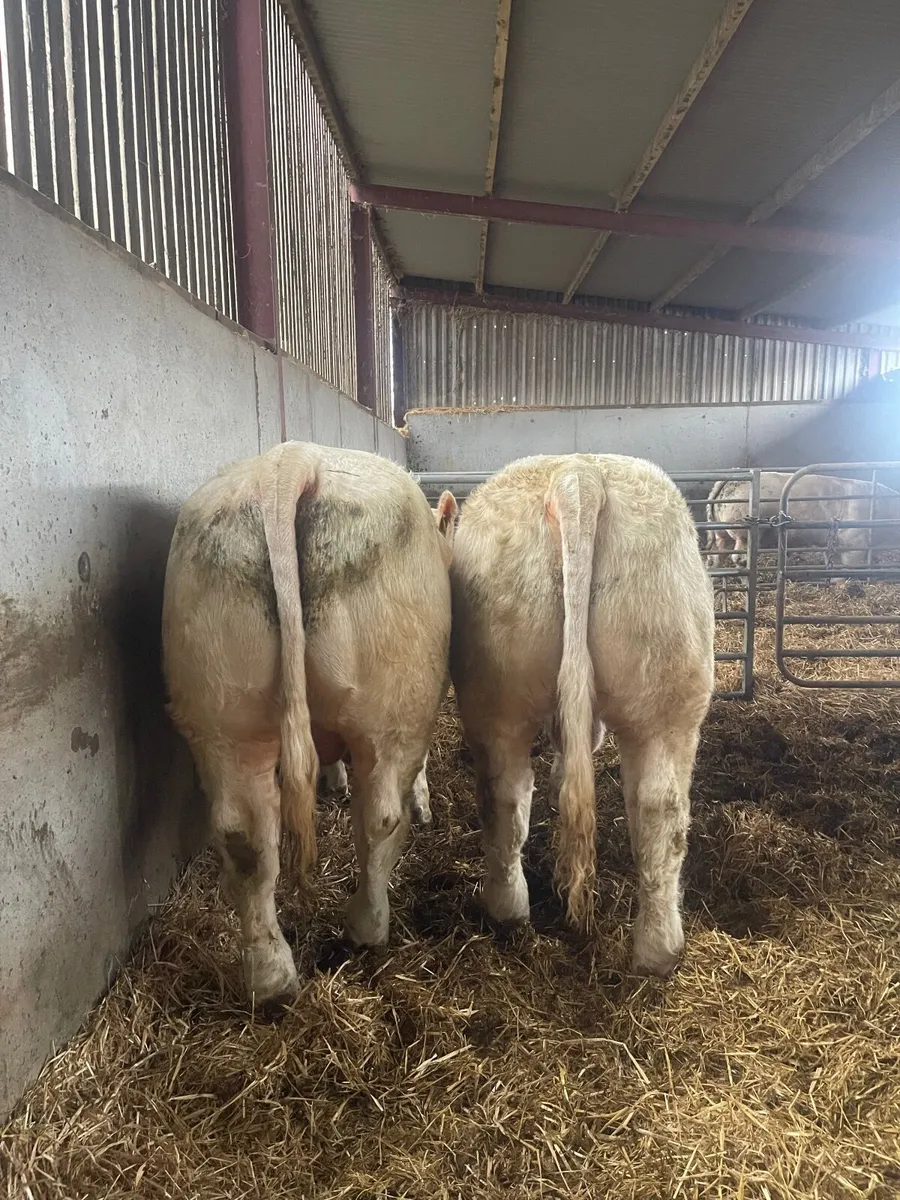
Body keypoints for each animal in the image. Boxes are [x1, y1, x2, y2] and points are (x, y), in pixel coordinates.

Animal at [162, 442, 457, 1007]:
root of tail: (290, 462)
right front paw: (422, 804)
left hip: (221, 704)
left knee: (244, 837)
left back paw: (272, 982)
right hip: (396, 703)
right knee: (380, 816)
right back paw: (367, 929)